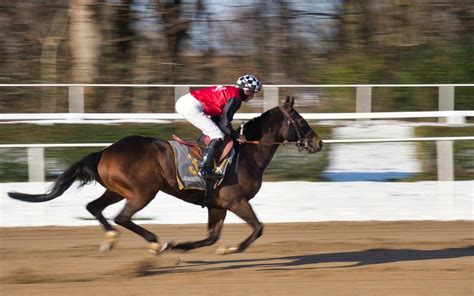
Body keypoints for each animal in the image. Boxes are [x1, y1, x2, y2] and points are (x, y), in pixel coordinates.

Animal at [7, 96, 322, 254]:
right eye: (301, 120)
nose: (318, 142)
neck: (247, 154)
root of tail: (106, 151)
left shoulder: (218, 204)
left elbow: (211, 237)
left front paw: (183, 246)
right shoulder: (236, 201)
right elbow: (257, 228)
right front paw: (232, 249)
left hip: (117, 189)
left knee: (94, 207)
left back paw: (111, 239)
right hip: (143, 191)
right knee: (122, 217)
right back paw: (155, 242)